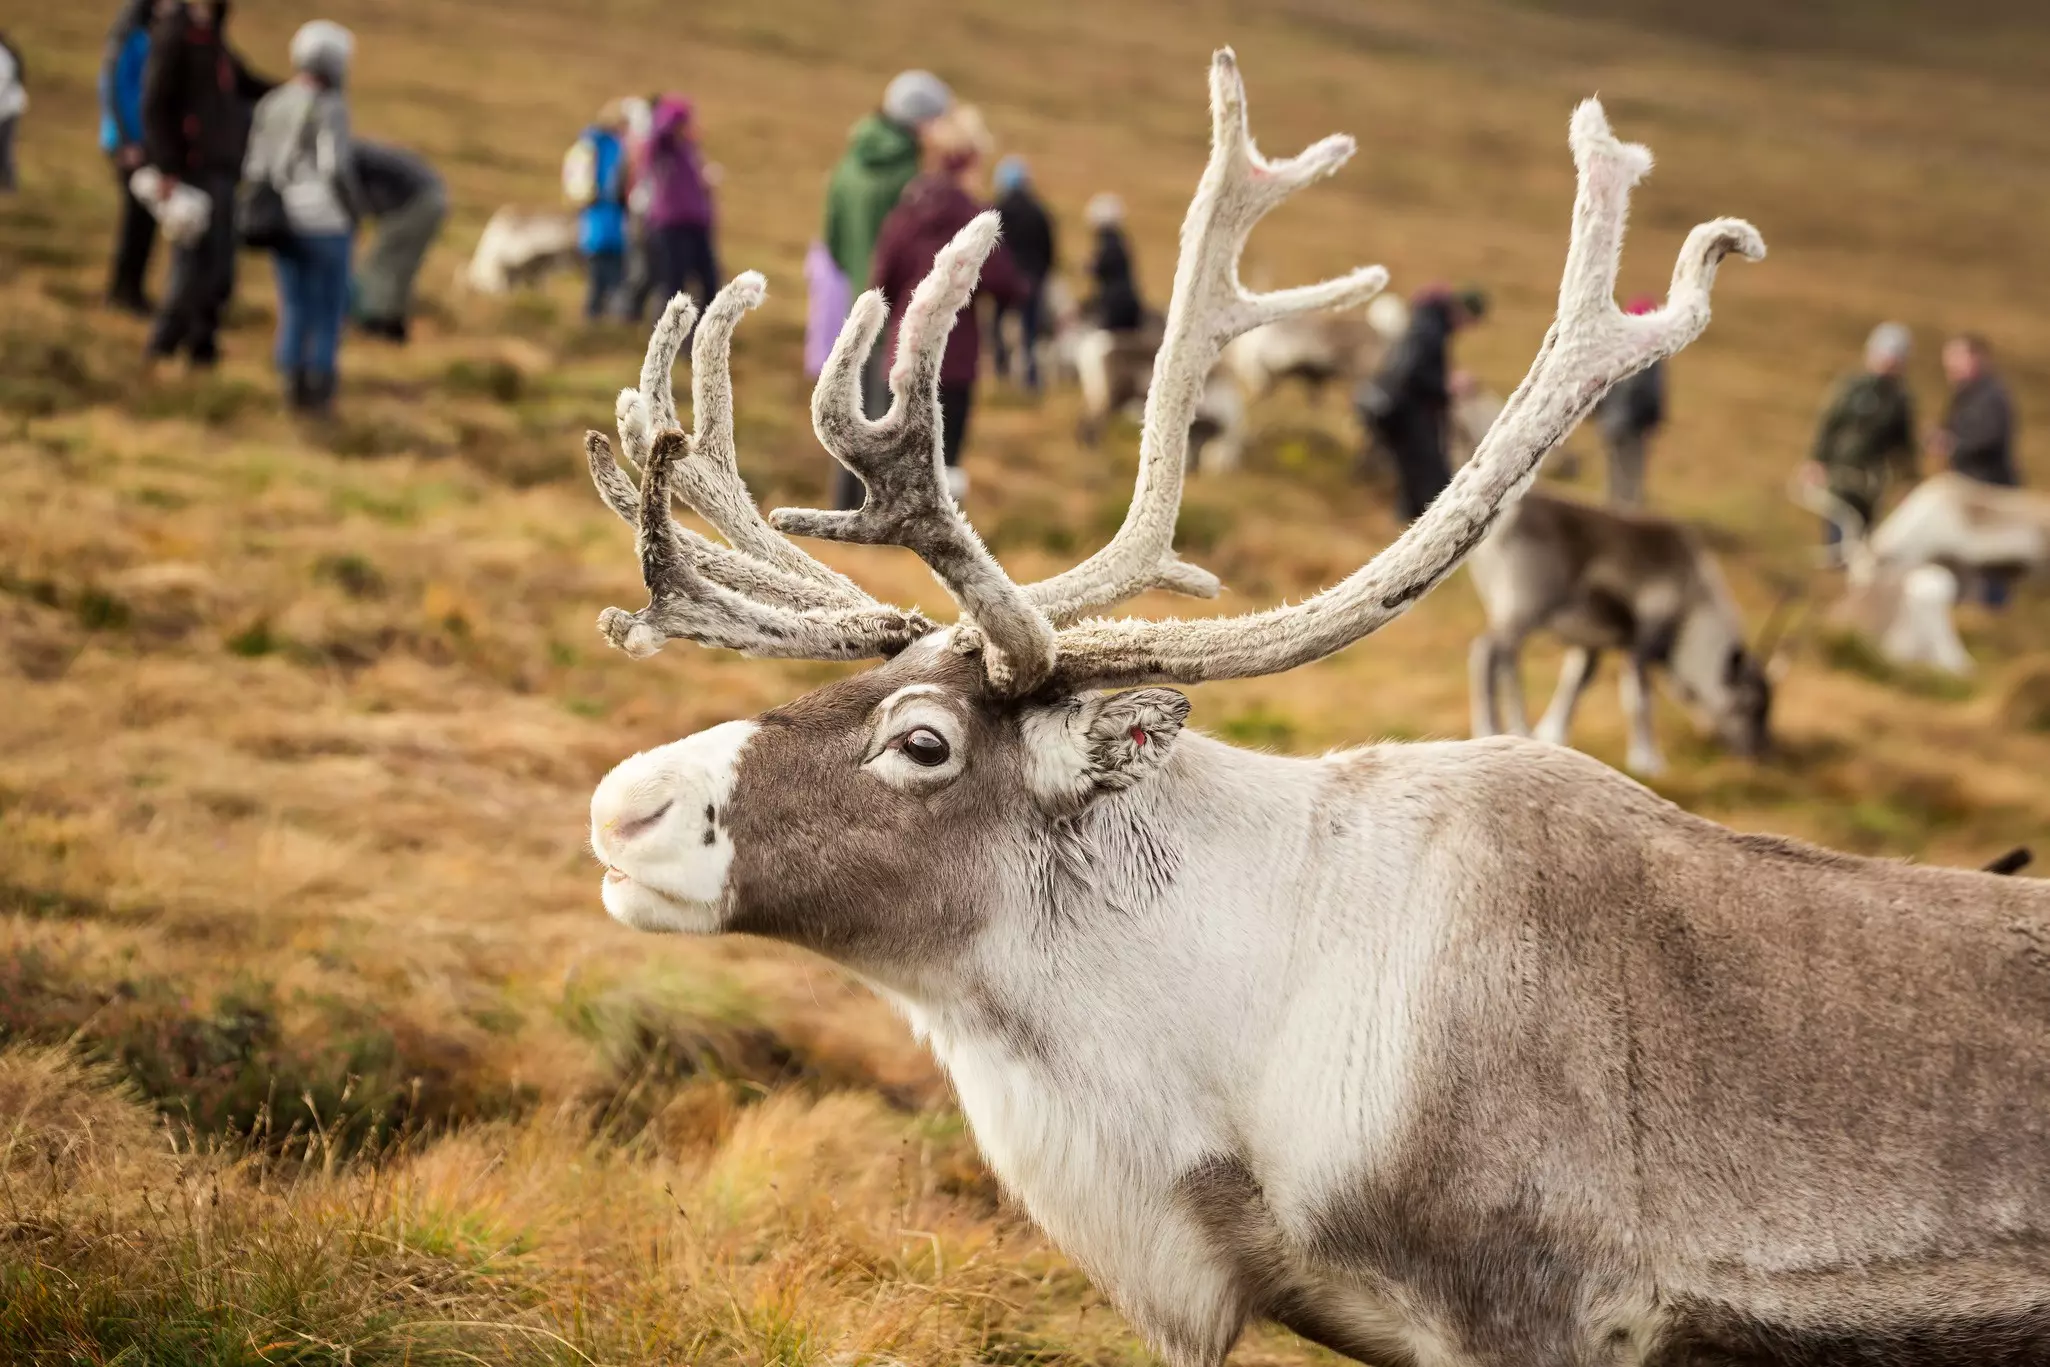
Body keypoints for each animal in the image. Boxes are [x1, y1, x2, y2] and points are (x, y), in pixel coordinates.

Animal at [1466, 491, 1784, 777]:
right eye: (1748, 704)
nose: (1760, 752)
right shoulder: (1642, 640)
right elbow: (1639, 699)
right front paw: (1647, 760)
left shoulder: (1590, 646)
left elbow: (1574, 684)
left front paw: (1552, 736)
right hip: (1525, 609)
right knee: (1488, 653)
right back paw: (1495, 729)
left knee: (1504, 658)